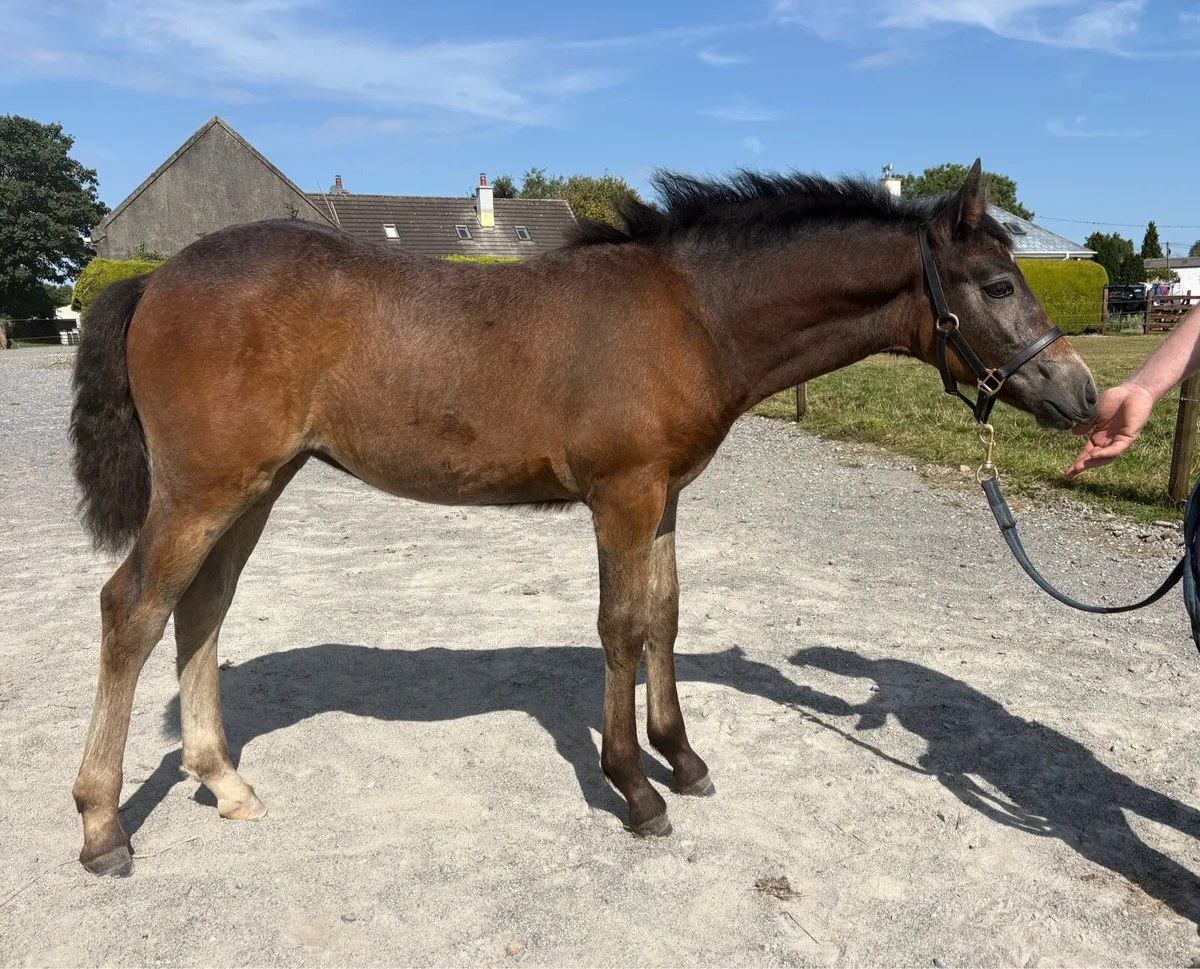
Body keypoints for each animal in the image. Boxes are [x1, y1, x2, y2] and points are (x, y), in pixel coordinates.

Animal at [68, 159, 1098, 876]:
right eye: (997, 285)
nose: (1083, 394)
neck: (692, 312)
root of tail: (154, 281)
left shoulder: (667, 493)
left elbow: (665, 617)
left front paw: (683, 755)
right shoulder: (623, 492)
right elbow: (621, 625)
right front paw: (636, 787)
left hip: (256, 486)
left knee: (200, 612)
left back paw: (224, 781)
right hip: (206, 488)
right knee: (131, 609)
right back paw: (103, 826)